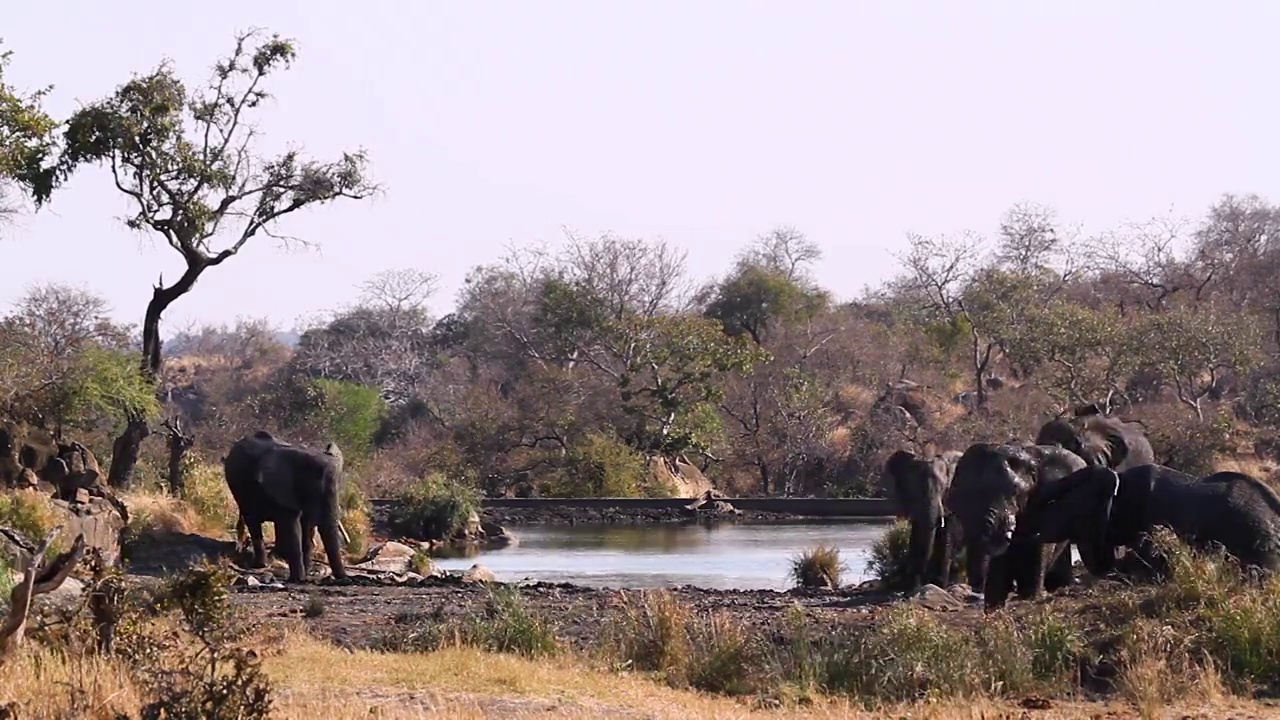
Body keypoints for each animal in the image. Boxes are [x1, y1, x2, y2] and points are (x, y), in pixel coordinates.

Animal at [222, 427, 348, 579]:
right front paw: (299, 579)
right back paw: (261, 565)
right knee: (252, 520)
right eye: (312, 489)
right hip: (239, 489)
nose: (344, 579)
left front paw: (305, 573)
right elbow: (292, 527)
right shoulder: (282, 489)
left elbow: (306, 528)